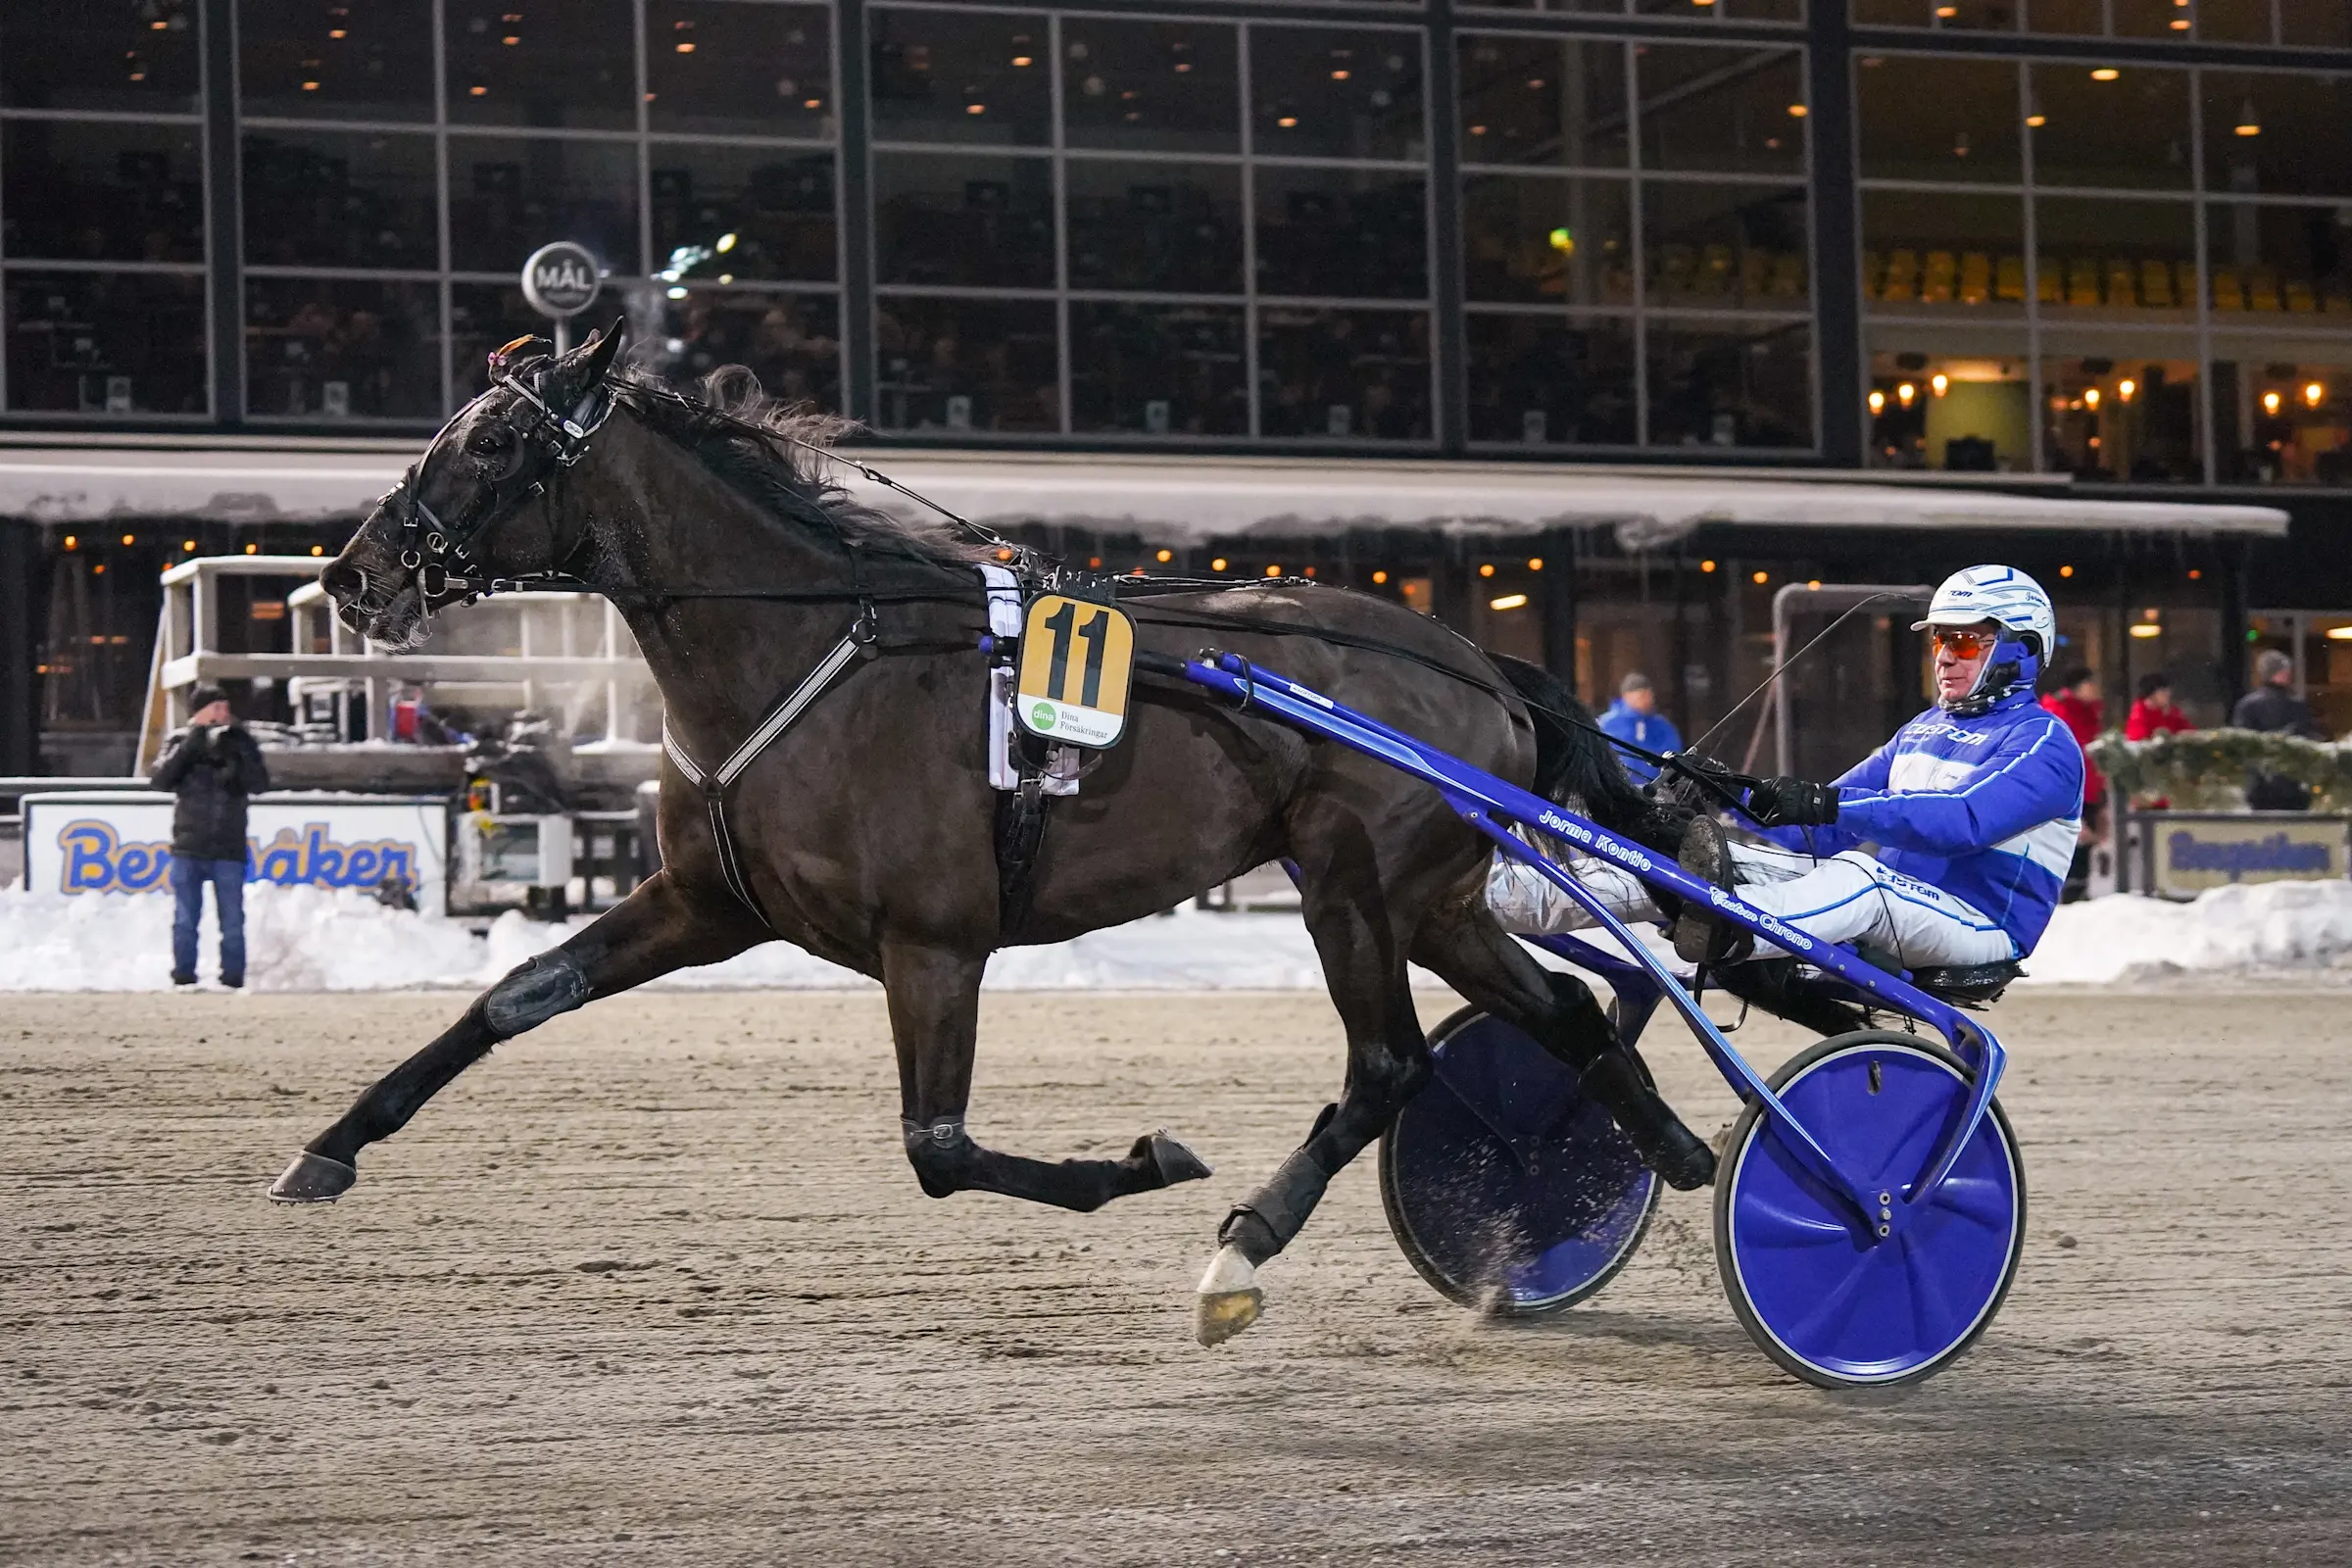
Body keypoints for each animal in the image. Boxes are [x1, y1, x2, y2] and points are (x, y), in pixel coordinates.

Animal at [270, 331, 1712, 1353]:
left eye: (492, 440)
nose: (352, 573)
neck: (810, 647)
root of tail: (1474, 658)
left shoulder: (936, 942)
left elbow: (941, 1149)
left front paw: (1141, 1163)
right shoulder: (703, 901)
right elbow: (515, 997)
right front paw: (329, 1145)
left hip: (1353, 889)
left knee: (1389, 1066)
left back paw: (1240, 1249)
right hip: (1435, 901)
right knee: (1569, 1011)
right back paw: (1660, 1158)